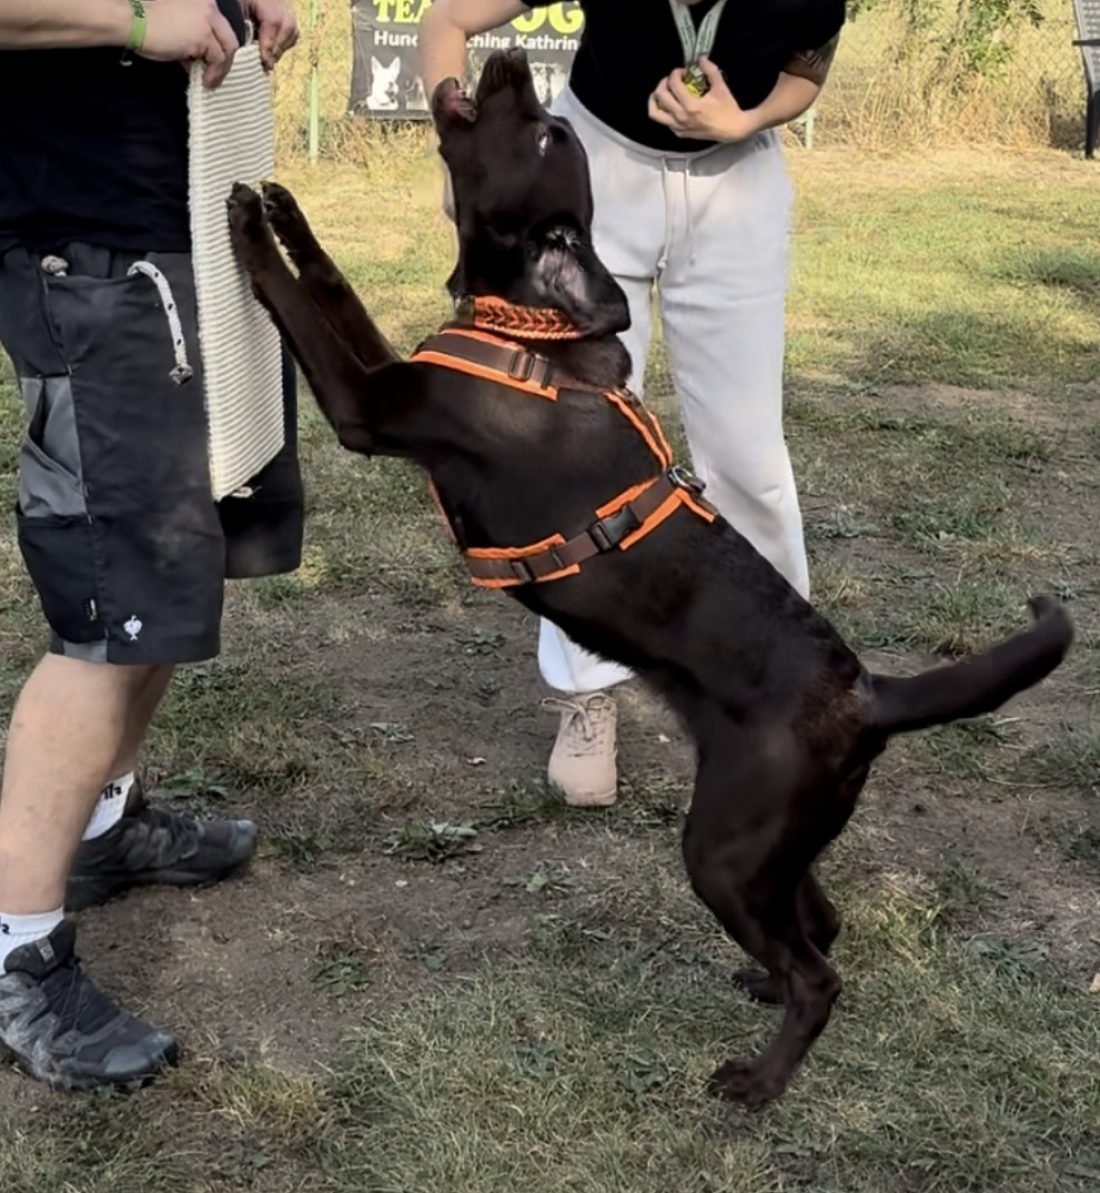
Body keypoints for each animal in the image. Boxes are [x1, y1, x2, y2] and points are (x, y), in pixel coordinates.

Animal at [225, 51, 1073, 1102]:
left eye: (544, 130)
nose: (511, 57)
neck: (530, 328)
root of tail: (869, 693)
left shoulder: (366, 404)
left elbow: (300, 304)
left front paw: (247, 227)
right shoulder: (389, 368)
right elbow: (334, 283)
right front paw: (286, 207)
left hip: (723, 850)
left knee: (822, 972)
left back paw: (757, 1080)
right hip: (772, 846)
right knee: (821, 923)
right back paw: (760, 987)